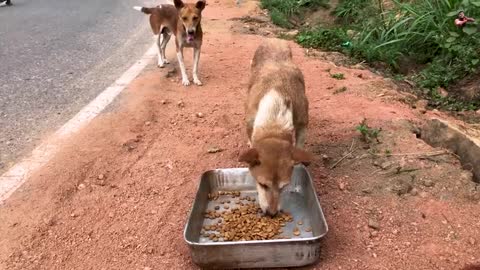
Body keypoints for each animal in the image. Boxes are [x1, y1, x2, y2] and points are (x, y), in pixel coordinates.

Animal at [238, 38, 314, 215]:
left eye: (284, 186)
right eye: (262, 185)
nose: (272, 214)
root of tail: (274, 39)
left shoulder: (302, 122)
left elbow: (299, 144)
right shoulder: (250, 122)